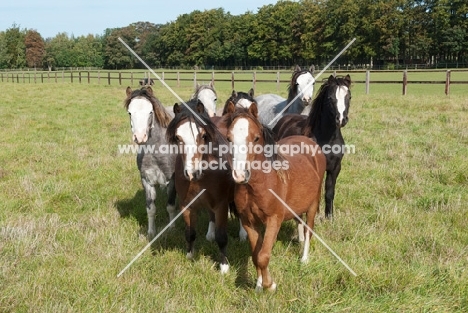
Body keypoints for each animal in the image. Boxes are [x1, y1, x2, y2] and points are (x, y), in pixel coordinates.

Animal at [124, 85, 177, 239]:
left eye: (150, 112)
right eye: (130, 113)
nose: (140, 137)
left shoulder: (172, 181)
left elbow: (171, 206)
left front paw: (172, 228)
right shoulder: (147, 181)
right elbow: (151, 209)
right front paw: (151, 232)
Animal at [166, 98, 236, 272]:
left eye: (203, 135)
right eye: (178, 137)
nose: (192, 173)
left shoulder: (221, 205)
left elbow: (221, 237)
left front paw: (224, 267)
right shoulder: (187, 205)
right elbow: (190, 232)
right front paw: (190, 256)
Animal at [225, 102, 328, 290]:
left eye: (256, 138)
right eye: (229, 139)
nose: (240, 175)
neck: (258, 185)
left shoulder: (274, 220)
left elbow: (263, 255)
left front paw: (270, 285)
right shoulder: (249, 222)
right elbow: (255, 255)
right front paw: (259, 285)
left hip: (313, 204)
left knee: (309, 229)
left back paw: (304, 258)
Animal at [274, 74, 352, 218]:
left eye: (349, 97)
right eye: (330, 98)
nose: (341, 120)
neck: (327, 139)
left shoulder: (335, 168)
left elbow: (329, 192)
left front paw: (329, 217)